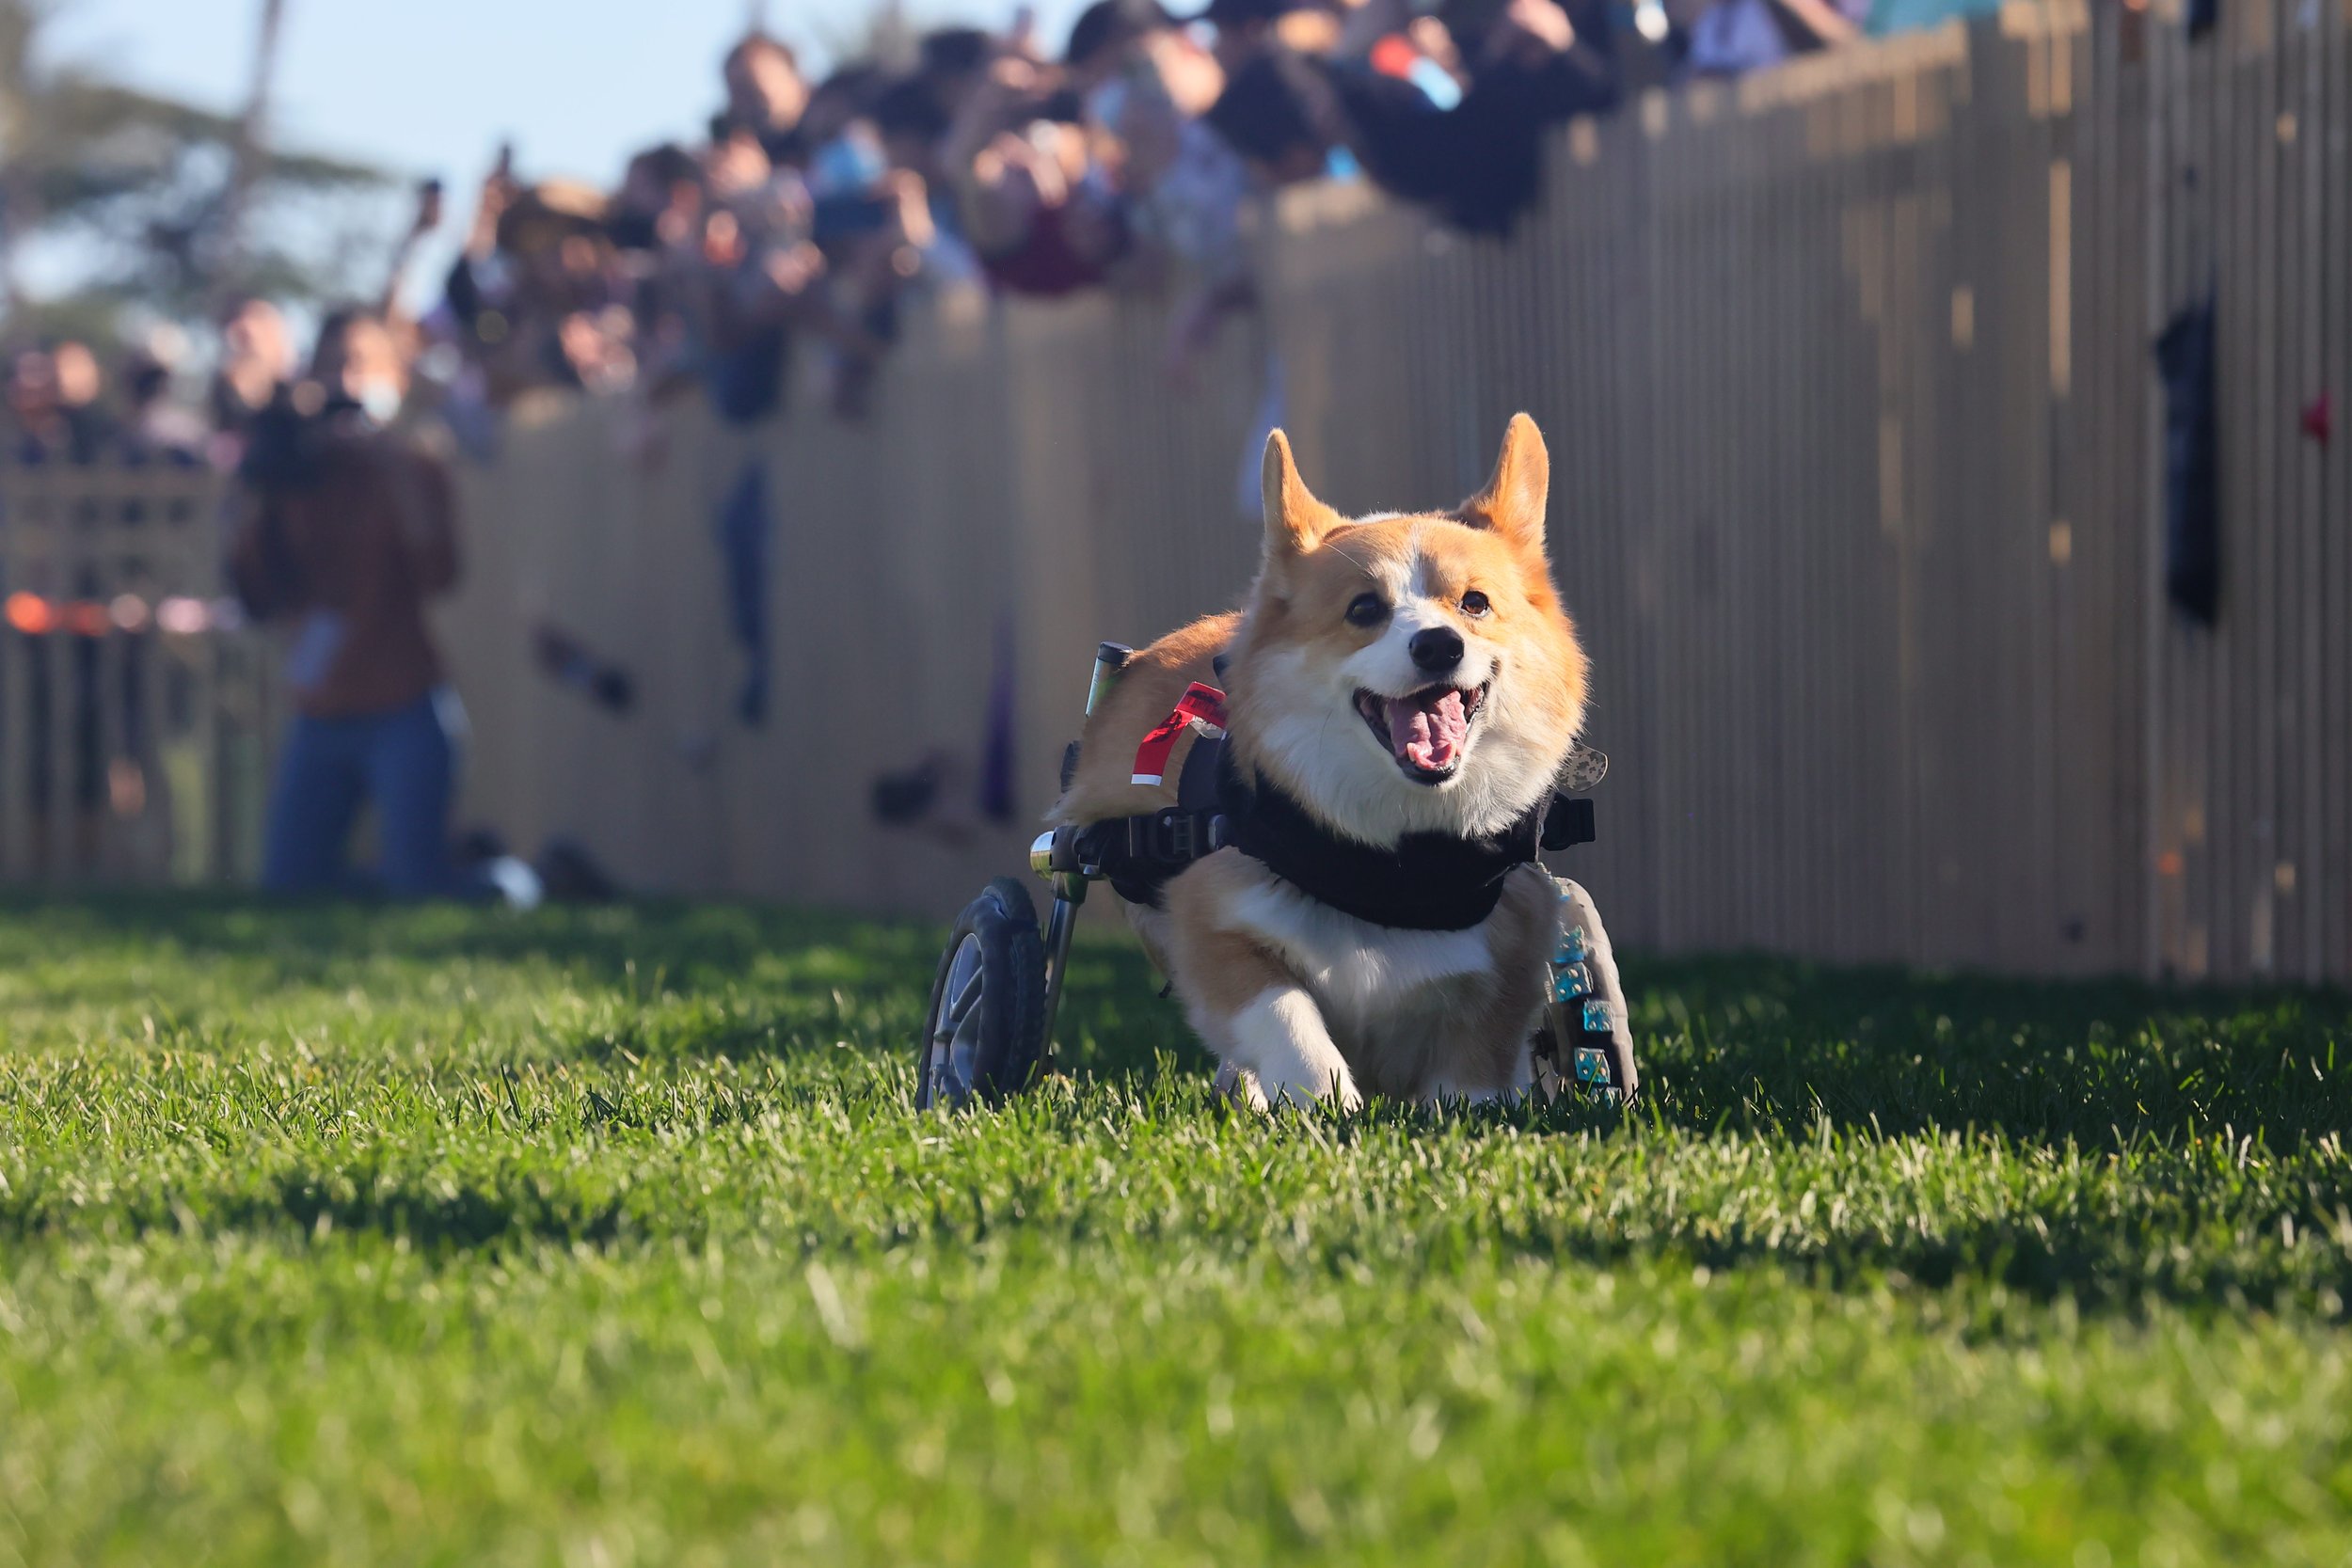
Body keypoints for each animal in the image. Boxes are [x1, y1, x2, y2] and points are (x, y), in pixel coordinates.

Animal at [1058, 411, 1590, 1109]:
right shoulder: (1214, 922)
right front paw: (1324, 1102)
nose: (1439, 645)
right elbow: (1284, 1014)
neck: (1395, 864)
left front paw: (1476, 1114)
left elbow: (1476, 1063)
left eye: (1474, 603)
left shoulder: (1513, 951)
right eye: (1364, 609)